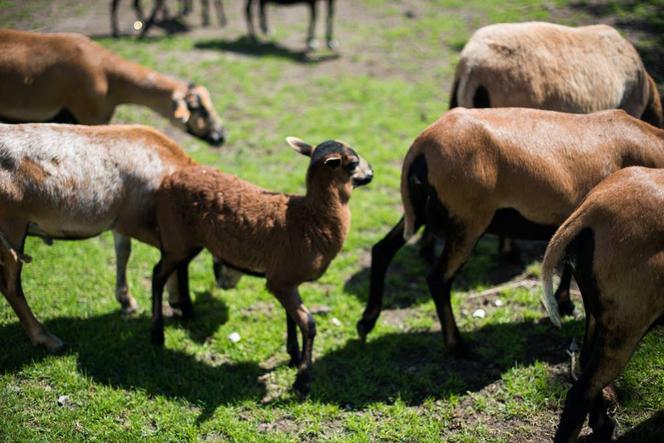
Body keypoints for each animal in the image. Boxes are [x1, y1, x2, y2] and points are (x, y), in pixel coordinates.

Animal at [0, 122, 196, 354]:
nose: (190, 313)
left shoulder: (119, 221)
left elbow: (123, 251)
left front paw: (128, 301)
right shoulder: (135, 220)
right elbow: (173, 256)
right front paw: (178, 302)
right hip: (12, 226)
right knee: (10, 285)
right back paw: (47, 339)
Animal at [358, 107, 664, 354]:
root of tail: (421, 146)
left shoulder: (574, 226)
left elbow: (565, 265)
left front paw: (564, 303)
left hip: (421, 212)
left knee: (382, 250)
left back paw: (366, 322)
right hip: (467, 223)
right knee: (438, 279)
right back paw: (458, 346)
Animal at [540, 167, 664, 443]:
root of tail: (589, 213)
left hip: (598, 314)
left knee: (585, 359)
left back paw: (603, 425)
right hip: (627, 326)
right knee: (580, 393)